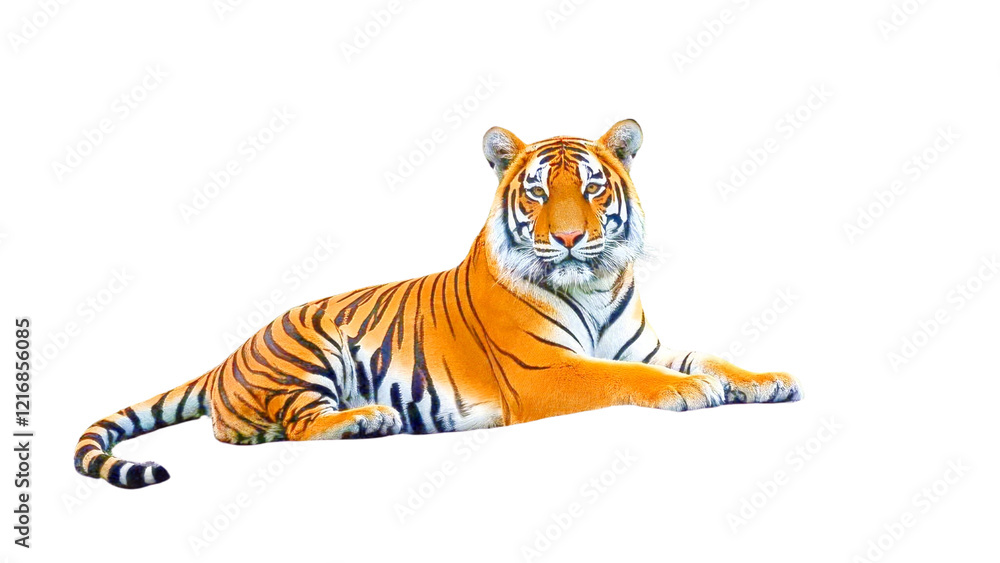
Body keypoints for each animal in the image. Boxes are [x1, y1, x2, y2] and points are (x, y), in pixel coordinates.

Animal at [74, 119, 802, 489]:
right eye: (538, 192)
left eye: (593, 188)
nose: (569, 237)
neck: (591, 283)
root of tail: (226, 357)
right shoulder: (547, 373)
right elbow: (628, 378)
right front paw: (690, 391)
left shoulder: (646, 343)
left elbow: (709, 356)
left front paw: (766, 378)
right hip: (309, 351)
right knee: (284, 427)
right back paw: (367, 420)